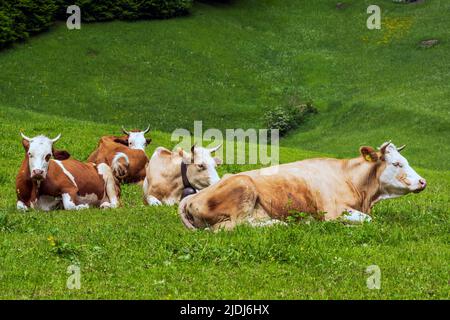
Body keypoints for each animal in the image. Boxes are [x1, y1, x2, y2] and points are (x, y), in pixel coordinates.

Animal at [178, 142, 426, 230]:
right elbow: (366, 220)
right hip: (243, 187)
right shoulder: (332, 211)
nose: (423, 181)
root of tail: (191, 197)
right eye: (397, 163)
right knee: (231, 227)